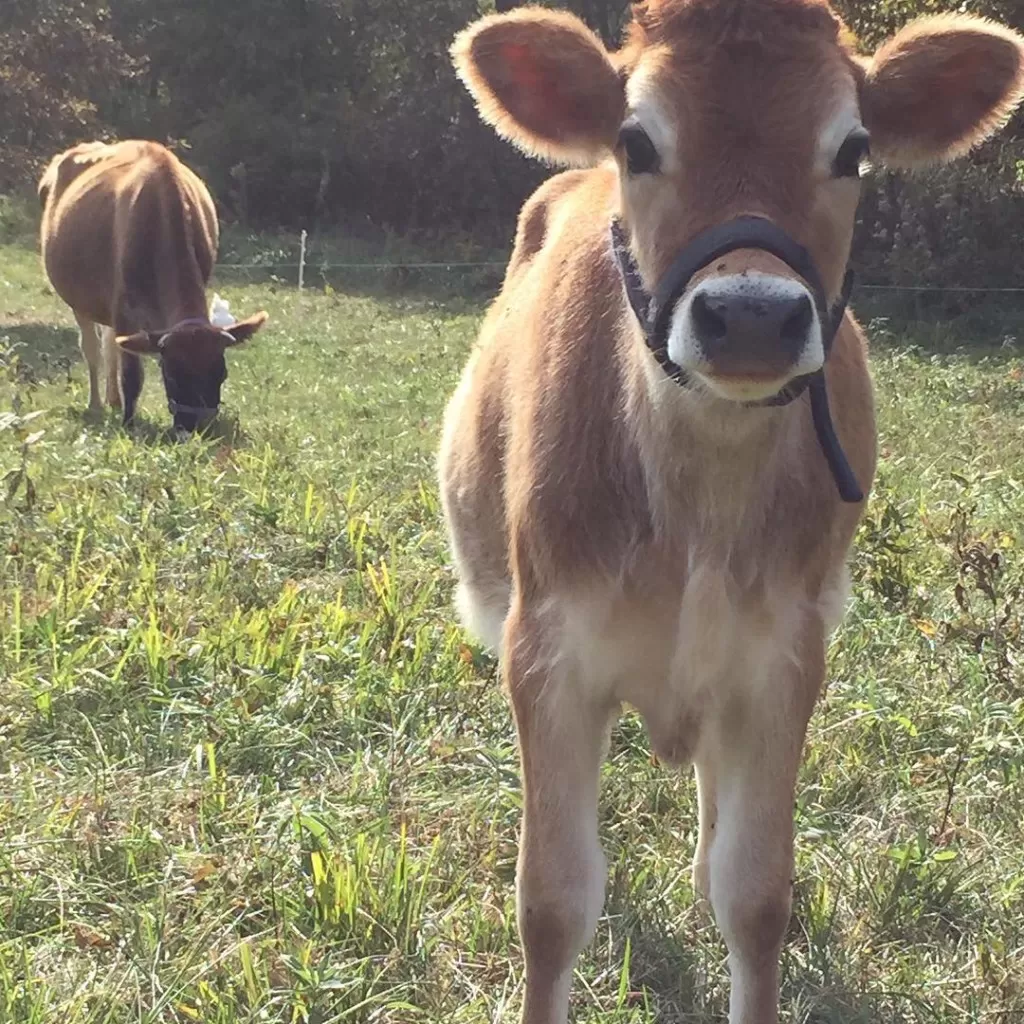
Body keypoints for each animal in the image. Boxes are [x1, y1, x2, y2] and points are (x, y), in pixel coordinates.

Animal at [38, 142, 268, 430]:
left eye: (221, 373)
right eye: (172, 375)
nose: (198, 429)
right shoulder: (123, 310)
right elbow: (131, 375)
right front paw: (128, 424)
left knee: (110, 346)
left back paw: (113, 400)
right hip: (79, 299)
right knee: (92, 349)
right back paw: (96, 405)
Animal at [440, 4, 1024, 1019]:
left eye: (853, 150)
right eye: (637, 140)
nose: (750, 316)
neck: (696, 509)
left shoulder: (784, 659)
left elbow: (754, 898)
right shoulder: (546, 651)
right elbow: (552, 903)